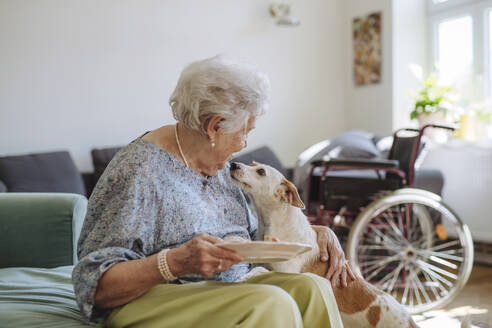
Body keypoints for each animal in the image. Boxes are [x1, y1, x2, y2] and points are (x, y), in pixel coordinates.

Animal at [231, 161, 418, 328]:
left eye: (261, 171)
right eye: (252, 164)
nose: (233, 164)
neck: (274, 225)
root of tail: (410, 320)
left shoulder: (289, 272)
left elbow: (261, 270)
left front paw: (245, 277)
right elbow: (260, 267)